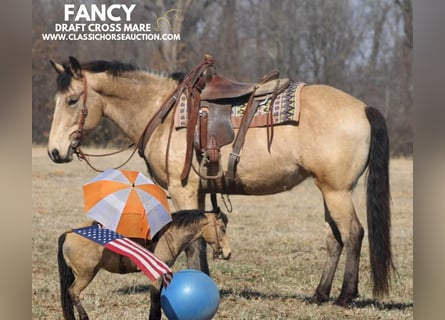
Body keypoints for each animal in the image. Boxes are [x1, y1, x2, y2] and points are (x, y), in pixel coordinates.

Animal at [47, 55, 392, 308]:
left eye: (73, 100)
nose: (55, 151)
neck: (164, 113)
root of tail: (363, 108)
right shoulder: (198, 192)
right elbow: (200, 236)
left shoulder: (182, 189)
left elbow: (191, 243)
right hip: (327, 190)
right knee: (334, 238)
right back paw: (320, 294)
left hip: (337, 191)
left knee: (353, 234)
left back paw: (346, 296)